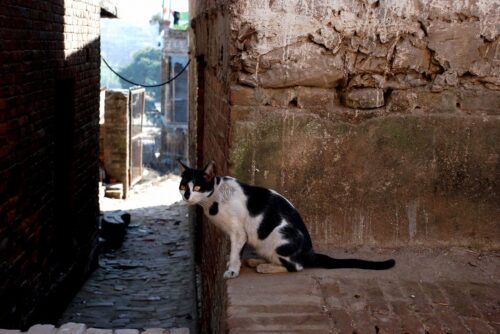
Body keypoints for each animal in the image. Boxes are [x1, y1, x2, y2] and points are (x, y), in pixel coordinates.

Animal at [177, 160, 394, 278]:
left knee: (296, 266)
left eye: (197, 187)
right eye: (183, 186)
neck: (213, 200)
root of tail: (310, 251)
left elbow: (235, 253)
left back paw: (265, 267)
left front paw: (232, 270)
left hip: (280, 236)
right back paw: (257, 261)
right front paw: (234, 263)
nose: (186, 196)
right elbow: (236, 252)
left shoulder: (239, 232)